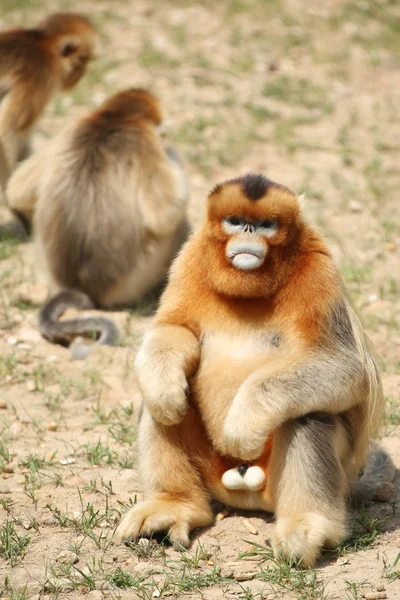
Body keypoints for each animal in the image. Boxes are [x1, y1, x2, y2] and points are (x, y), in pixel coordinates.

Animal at [115, 173, 394, 568]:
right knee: (161, 406)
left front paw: (242, 427)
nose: (248, 232)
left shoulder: (318, 270)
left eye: (265, 225)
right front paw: (167, 390)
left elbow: (345, 366)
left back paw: (307, 526)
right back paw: (175, 504)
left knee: (307, 416)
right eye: (235, 220)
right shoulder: (190, 258)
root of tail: (244, 490)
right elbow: (173, 330)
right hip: (213, 471)